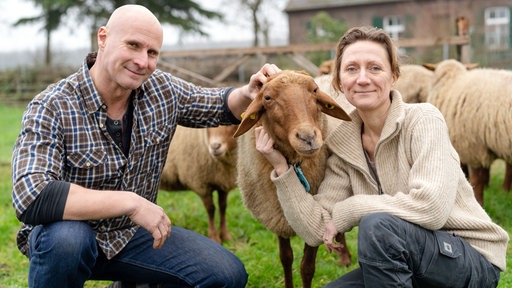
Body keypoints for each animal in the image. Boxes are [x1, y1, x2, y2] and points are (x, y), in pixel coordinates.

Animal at [233, 70, 350, 288]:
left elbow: (307, 267)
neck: (294, 163)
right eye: (267, 98)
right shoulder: (277, 213)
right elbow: (286, 258)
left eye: (315, 90)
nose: (308, 137)